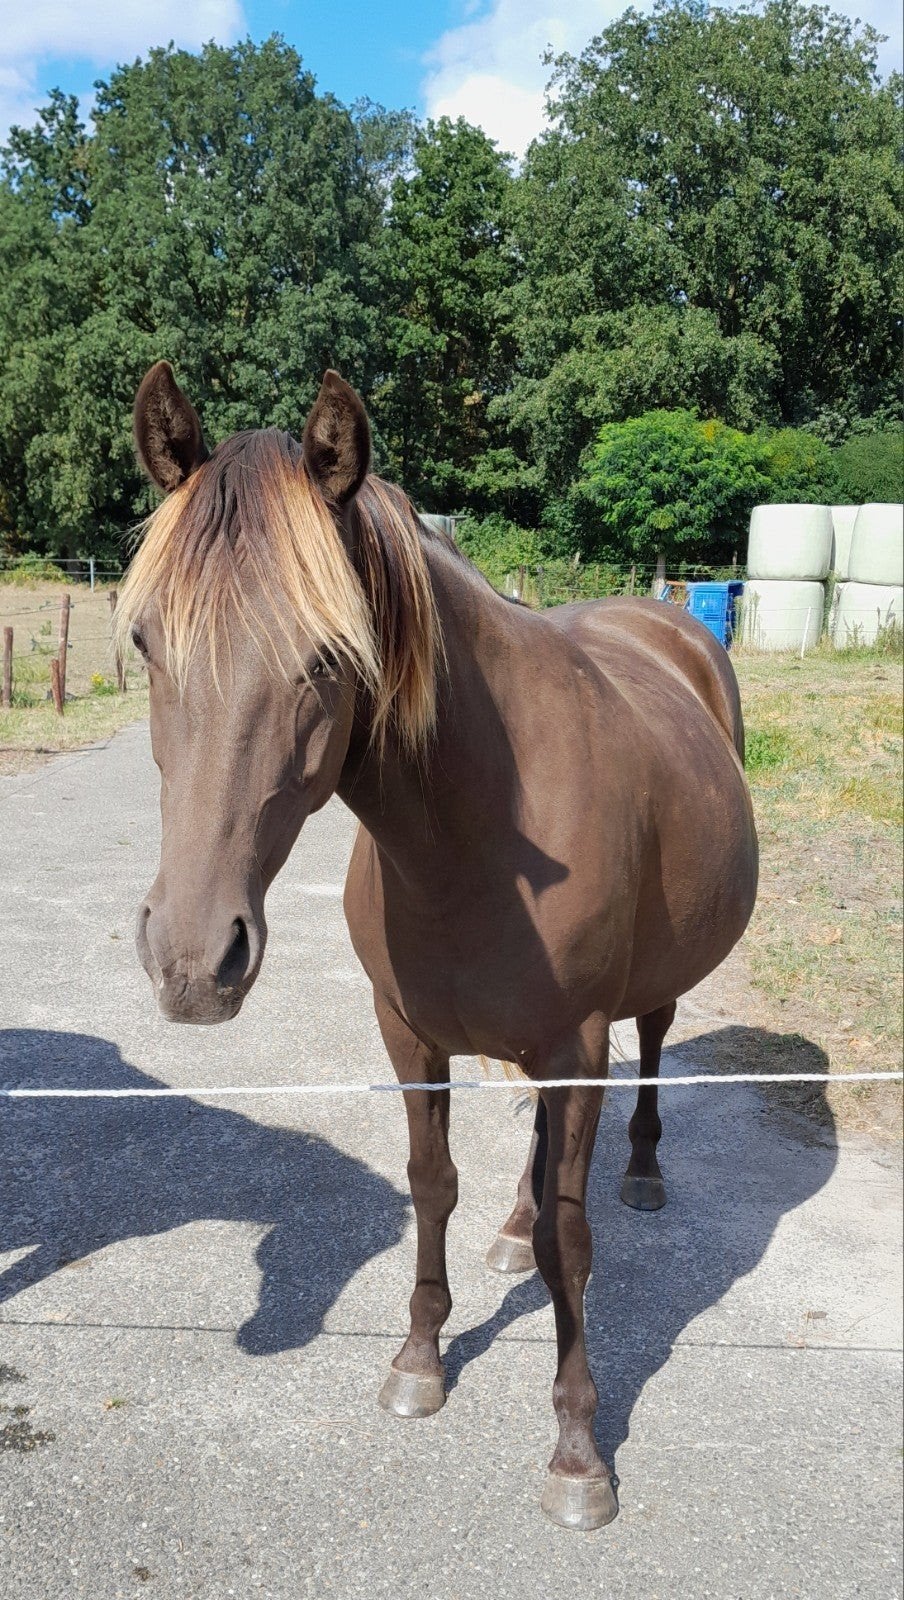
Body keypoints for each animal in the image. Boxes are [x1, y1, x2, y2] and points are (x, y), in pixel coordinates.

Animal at [117, 361, 759, 1531]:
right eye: (146, 643)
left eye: (330, 655)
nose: (190, 961)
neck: (478, 825)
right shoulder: (410, 1034)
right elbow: (433, 1184)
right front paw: (419, 1357)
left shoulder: (575, 1042)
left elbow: (571, 1244)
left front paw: (578, 1452)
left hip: (631, 1012)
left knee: (649, 1047)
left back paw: (643, 1169)